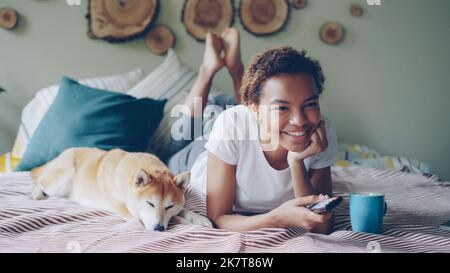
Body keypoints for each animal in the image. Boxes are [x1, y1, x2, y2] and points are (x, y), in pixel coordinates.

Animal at [29, 147, 213, 230]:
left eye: (169, 206)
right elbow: (174, 218)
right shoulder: (127, 210)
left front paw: (198, 217)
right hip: (61, 182)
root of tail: (64, 152)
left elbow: (181, 210)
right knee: (40, 182)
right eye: (150, 204)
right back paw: (36, 193)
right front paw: (187, 222)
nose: (159, 229)